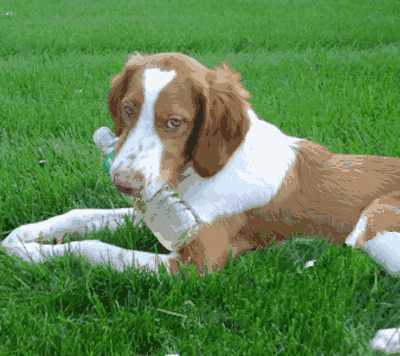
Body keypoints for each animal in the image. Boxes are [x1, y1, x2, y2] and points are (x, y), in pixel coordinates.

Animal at [2, 52, 400, 276]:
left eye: (174, 122)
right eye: (129, 109)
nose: (124, 183)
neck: (203, 172)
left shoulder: (197, 263)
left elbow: (96, 248)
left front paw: (34, 254)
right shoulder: (163, 210)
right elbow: (82, 214)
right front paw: (27, 236)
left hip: (376, 222)